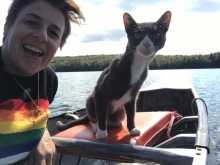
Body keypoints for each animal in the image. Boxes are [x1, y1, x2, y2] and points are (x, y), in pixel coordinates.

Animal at [56, 10, 172, 139]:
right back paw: (96, 126)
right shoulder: (100, 91)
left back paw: (116, 122)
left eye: (156, 35)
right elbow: (101, 112)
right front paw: (101, 132)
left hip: (120, 110)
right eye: (137, 35)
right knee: (93, 115)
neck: (137, 63)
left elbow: (131, 112)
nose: (146, 44)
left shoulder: (133, 94)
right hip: (91, 99)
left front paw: (132, 128)